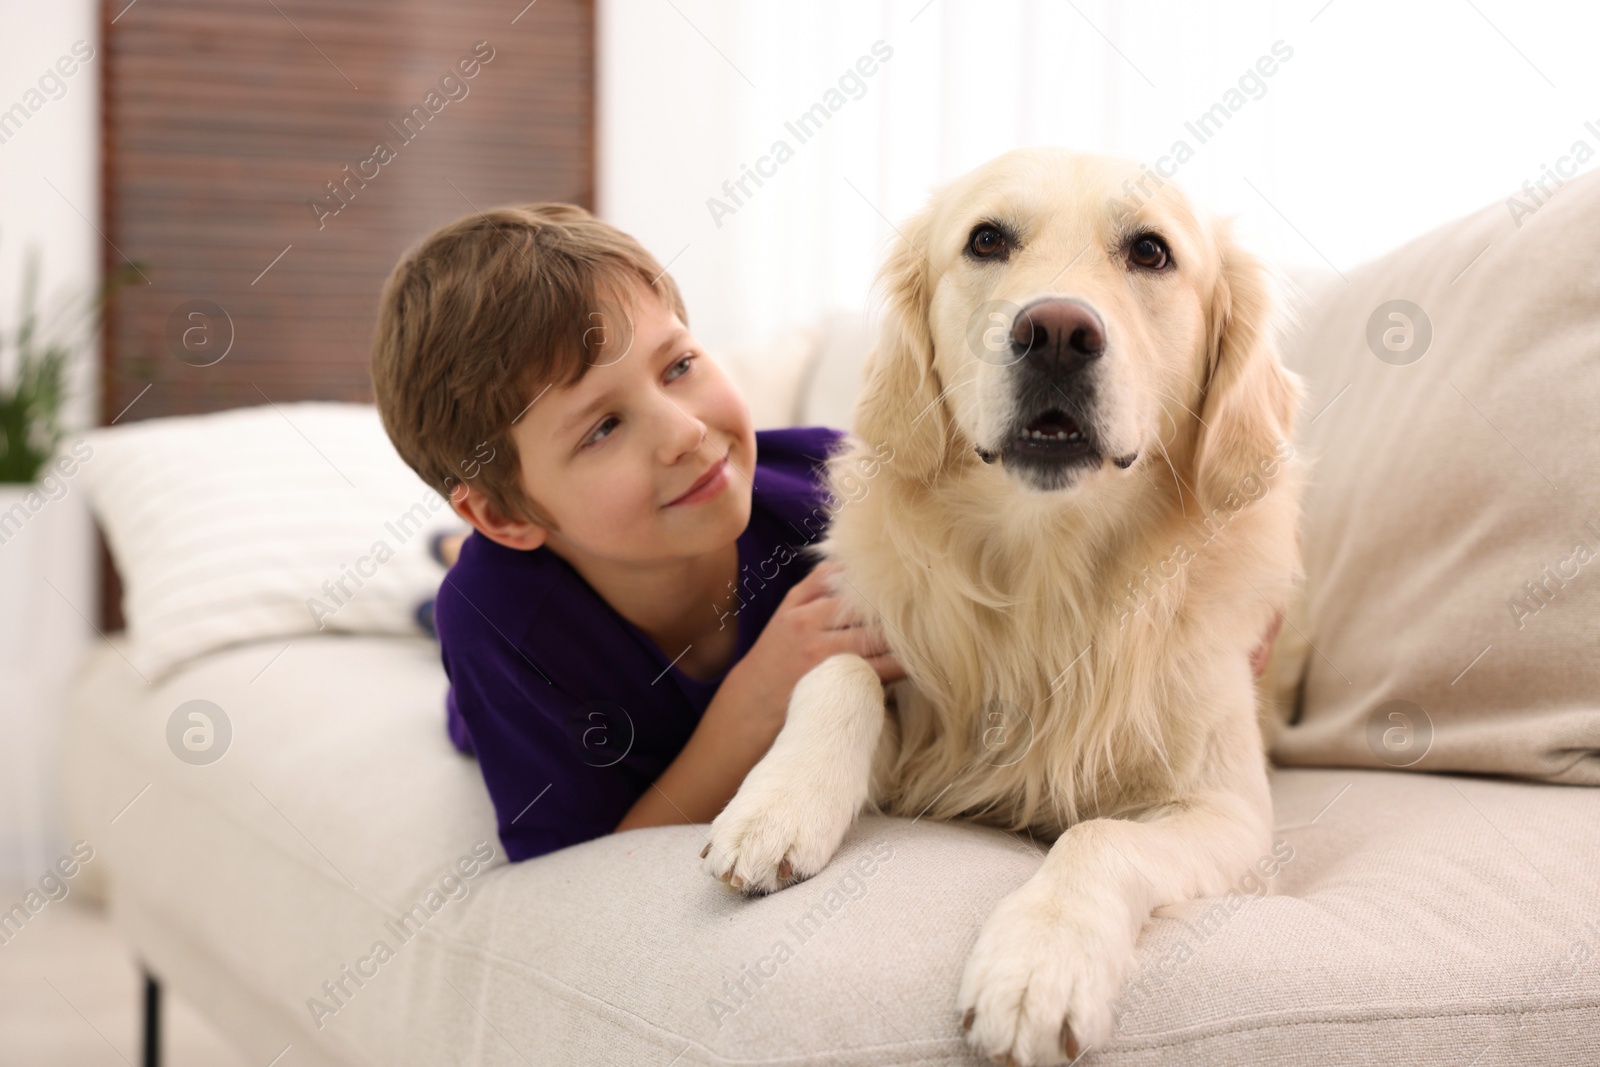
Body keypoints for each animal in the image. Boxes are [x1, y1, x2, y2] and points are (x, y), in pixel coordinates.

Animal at [697, 147, 1299, 1067]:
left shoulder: (1228, 813)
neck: (1048, 574)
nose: (1055, 332)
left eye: (1150, 251)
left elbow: (1100, 836)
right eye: (986, 240)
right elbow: (839, 673)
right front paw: (776, 806)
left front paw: (1038, 965)